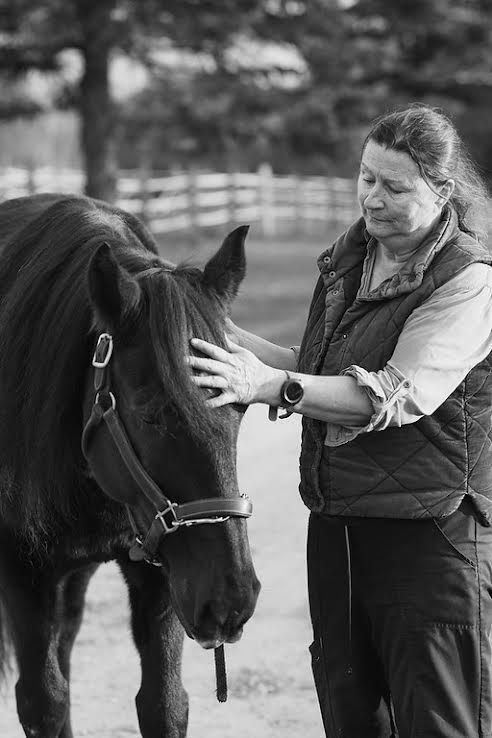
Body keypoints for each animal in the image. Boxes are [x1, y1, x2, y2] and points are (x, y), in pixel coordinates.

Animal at [0, 193, 260, 738]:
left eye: (241, 407)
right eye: (150, 413)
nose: (233, 597)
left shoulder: (166, 568)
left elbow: (163, 703)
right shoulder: (20, 567)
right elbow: (43, 701)